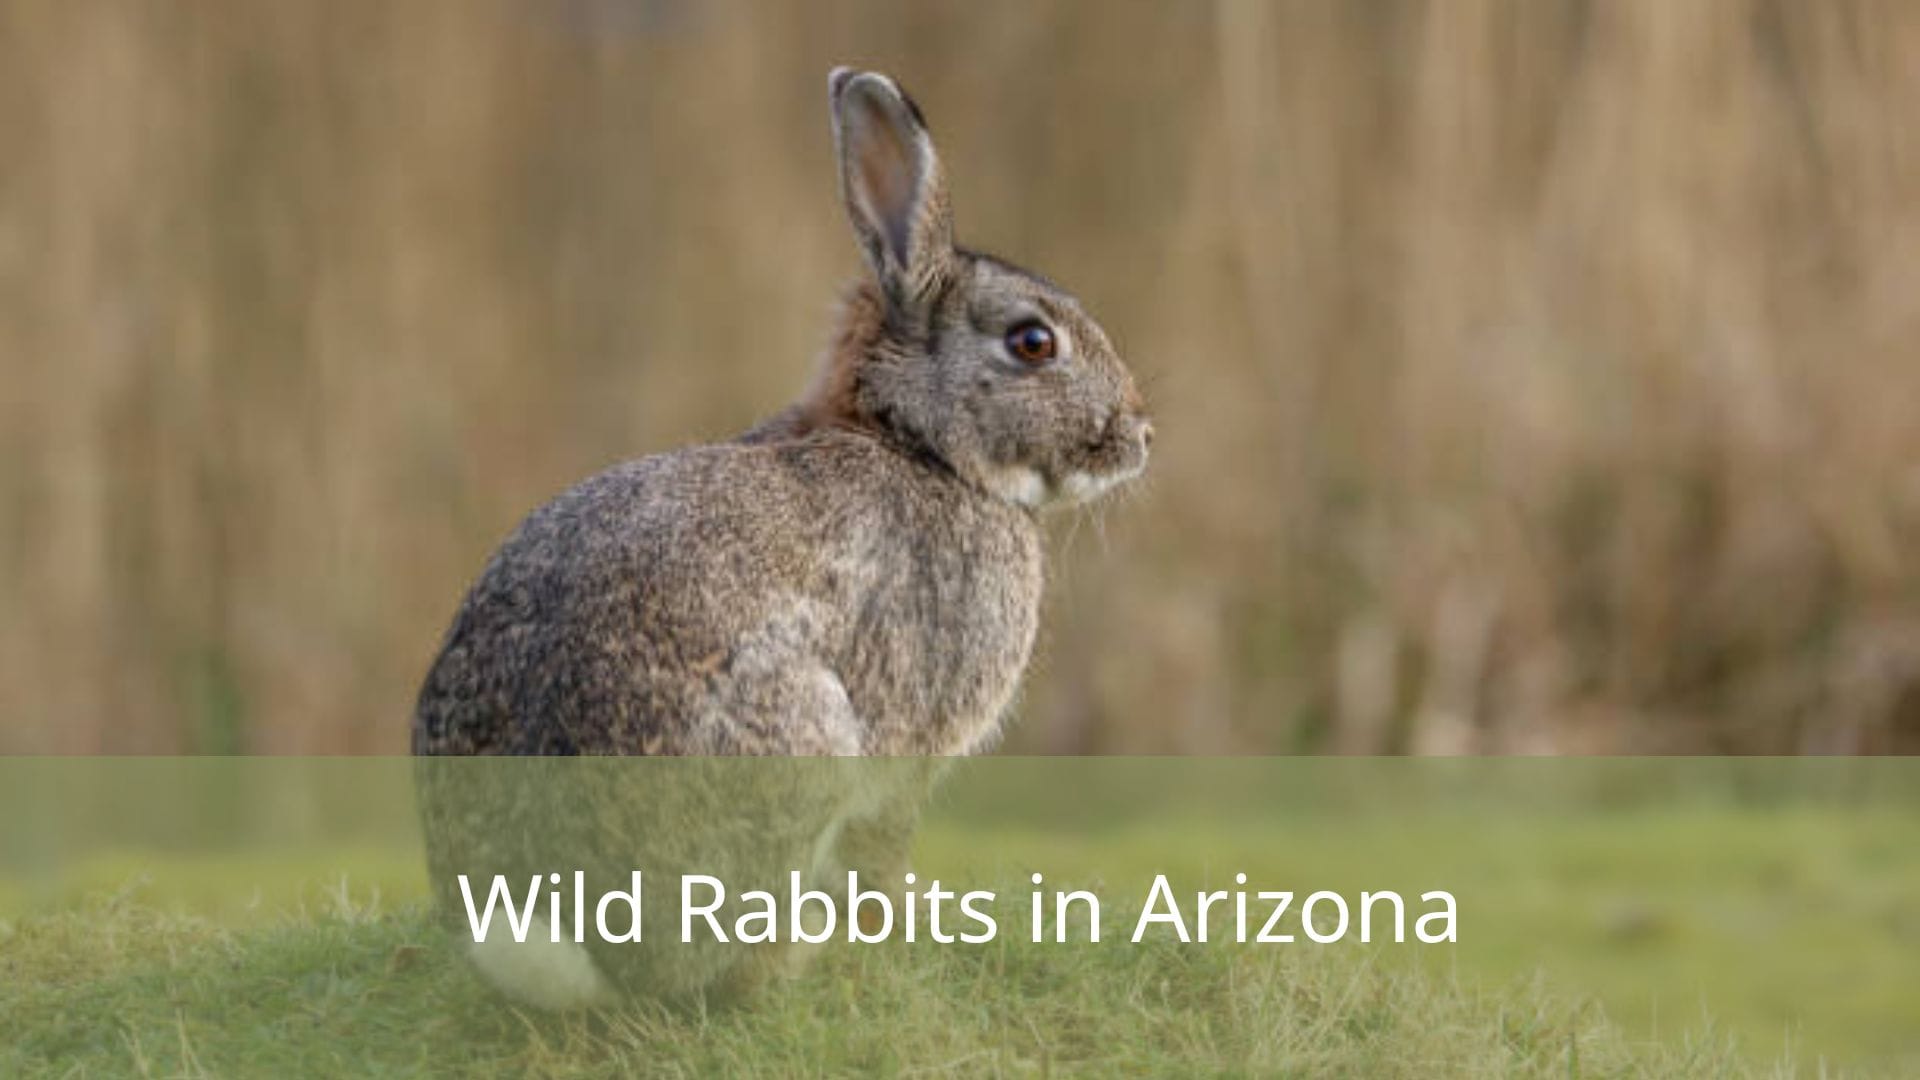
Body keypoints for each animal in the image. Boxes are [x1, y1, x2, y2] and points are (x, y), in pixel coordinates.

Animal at [412, 67, 1152, 1007]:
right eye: (1032, 342)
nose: (1140, 434)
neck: (919, 443)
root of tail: (559, 937)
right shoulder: (907, 752)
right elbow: (883, 853)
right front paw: (907, 928)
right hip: (805, 738)